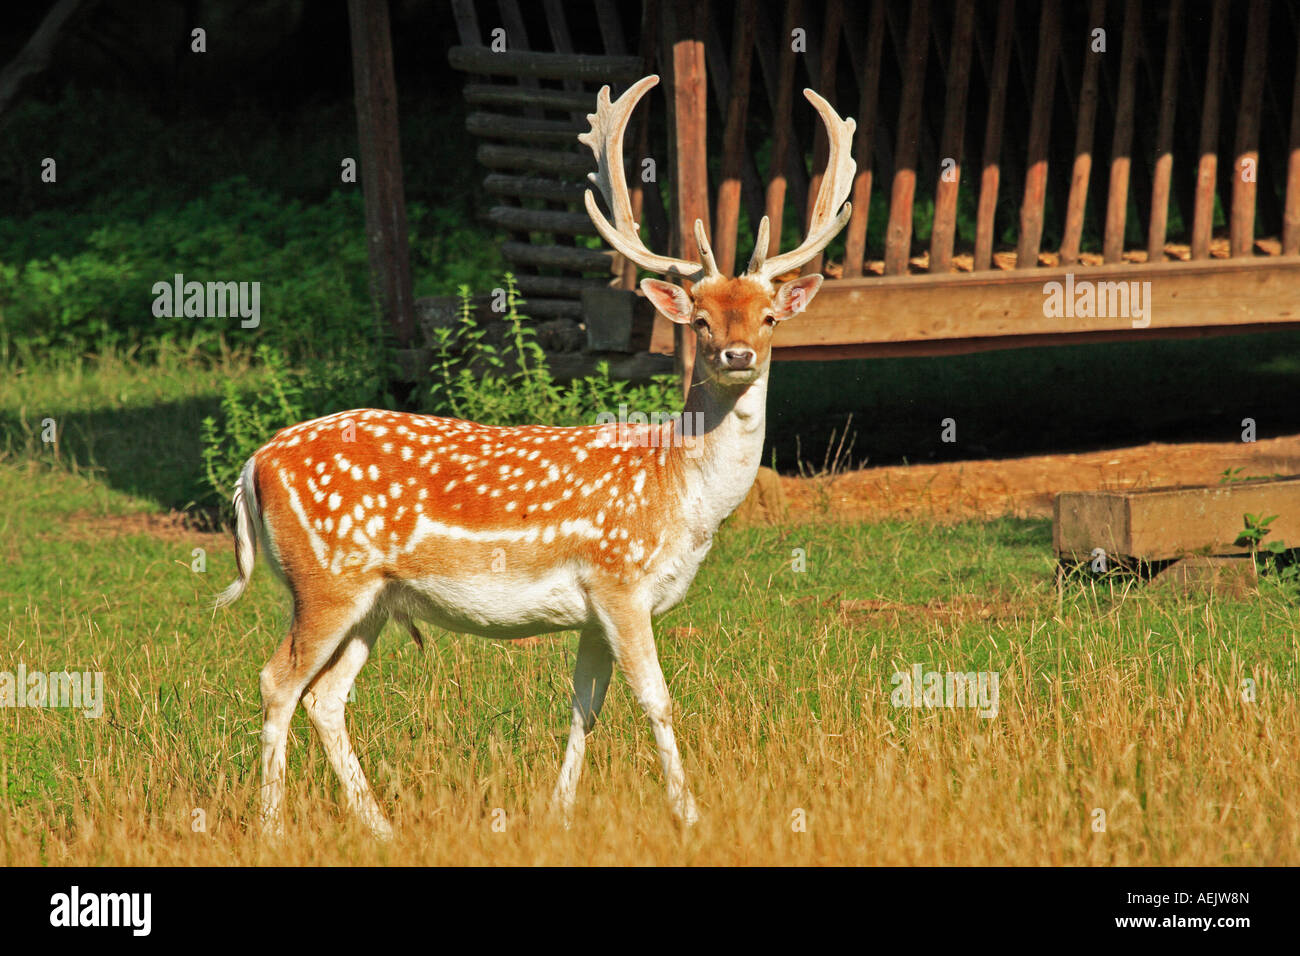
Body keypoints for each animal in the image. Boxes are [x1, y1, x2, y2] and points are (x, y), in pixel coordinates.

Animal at [215, 74, 852, 837]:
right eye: (699, 320)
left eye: (769, 316)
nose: (736, 356)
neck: (682, 494)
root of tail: (253, 466)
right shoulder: (618, 579)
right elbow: (657, 699)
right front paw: (690, 815)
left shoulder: (595, 611)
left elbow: (585, 707)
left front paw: (560, 812)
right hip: (326, 579)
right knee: (276, 681)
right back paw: (273, 825)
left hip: (373, 599)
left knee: (326, 696)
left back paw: (382, 827)